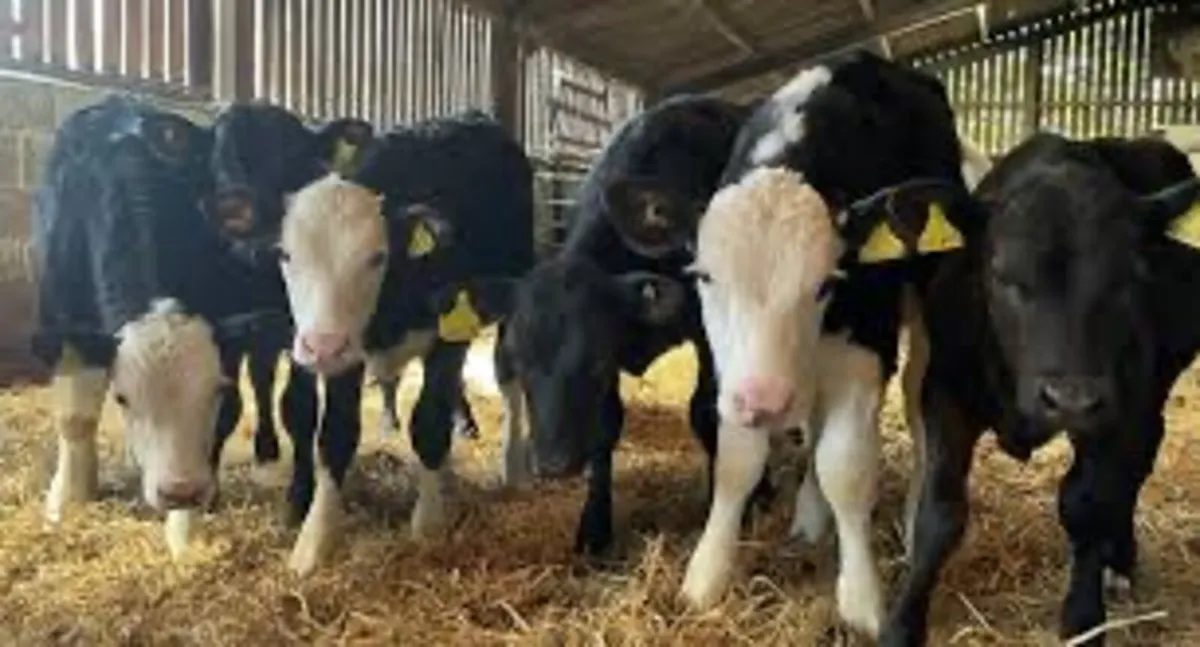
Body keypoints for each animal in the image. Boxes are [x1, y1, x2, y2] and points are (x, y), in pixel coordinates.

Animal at [31, 96, 292, 557]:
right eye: (122, 397)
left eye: (214, 390)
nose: (180, 491)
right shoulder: (60, 319)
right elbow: (75, 417)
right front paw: (67, 500)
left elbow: (223, 420)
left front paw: (184, 533)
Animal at [209, 108, 535, 575]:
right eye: (286, 255)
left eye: (377, 257)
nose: (321, 345)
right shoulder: (346, 353)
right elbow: (334, 434)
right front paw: (314, 541)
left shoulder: (447, 335)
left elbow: (429, 423)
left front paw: (428, 525)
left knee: (509, 379)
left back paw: (512, 465)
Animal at [430, 94, 773, 556]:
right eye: (519, 361)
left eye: (592, 361)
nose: (554, 463)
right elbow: (605, 426)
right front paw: (594, 526)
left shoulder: (706, 332)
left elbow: (706, 410)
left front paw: (739, 501)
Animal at [604, 51, 990, 637]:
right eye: (705, 276)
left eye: (827, 283)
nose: (764, 401)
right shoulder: (732, 372)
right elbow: (737, 461)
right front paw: (705, 577)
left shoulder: (863, 350)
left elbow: (846, 467)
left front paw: (861, 599)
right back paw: (809, 514)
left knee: (917, 401)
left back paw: (908, 512)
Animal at [881, 133, 1200, 646]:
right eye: (1004, 275)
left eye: (1127, 281)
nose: (1069, 400)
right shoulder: (946, 394)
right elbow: (940, 514)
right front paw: (902, 622)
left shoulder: (1118, 409)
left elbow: (1087, 503)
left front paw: (1084, 619)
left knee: (1137, 464)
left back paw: (1120, 561)